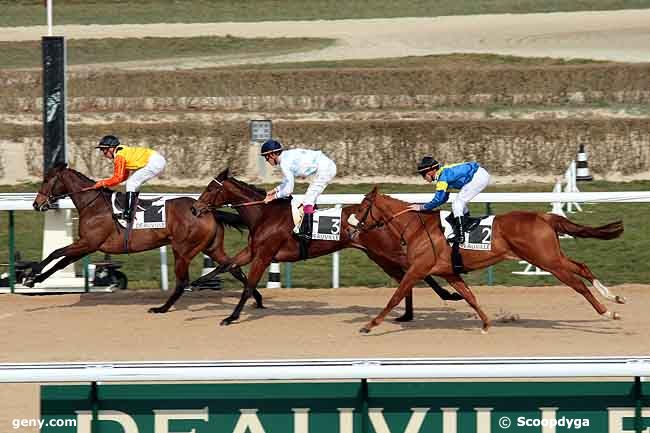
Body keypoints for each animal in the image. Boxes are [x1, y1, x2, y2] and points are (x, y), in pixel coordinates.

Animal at [27, 164, 256, 312]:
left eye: (46, 180)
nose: (36, 204)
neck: (93, 204)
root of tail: (207, 210)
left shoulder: (88, 242)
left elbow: (56, 253)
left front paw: (30, 275)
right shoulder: (87, 245)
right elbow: (61, 261)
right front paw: (36, 279)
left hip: (183, 250)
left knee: (183, 281)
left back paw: (162, 308)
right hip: (211, 247)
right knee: (233, 266)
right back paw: (257, 299)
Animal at [187, 167, 460, 326]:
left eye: (210, 189)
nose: (195, 209)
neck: (264, 214)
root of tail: (381, 216)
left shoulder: (264, 255)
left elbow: (248, 286)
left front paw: (231, 317)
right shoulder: (253, 251)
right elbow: (225, 265)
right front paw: (195, 284)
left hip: (385, 252)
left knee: (414, 270)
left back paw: (447, 295)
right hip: (378, 256)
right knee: (405, 276)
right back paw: (407, 314)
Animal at [346, 187, 624, 332]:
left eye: (362, 208)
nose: (351, 229)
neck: (416, 227)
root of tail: (543, 216)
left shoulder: (417, 269)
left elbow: (394, 297)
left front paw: (369, 325)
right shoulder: (449, 272)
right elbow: (469, 296)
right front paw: (486, 323)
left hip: (547, 261)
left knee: (578, 284)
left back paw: (607, 312)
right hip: (551, 256)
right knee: (582, 267)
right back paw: (614, 298)